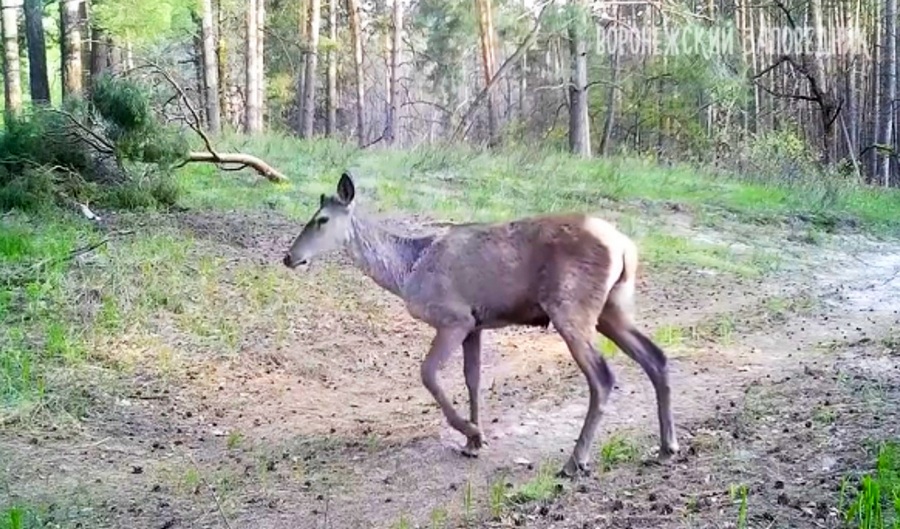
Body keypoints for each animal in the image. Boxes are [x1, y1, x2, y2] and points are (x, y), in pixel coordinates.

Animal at [282, 171, 676, 476]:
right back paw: (666, 447)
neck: (407, 271)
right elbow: (473, 378)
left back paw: (575, 462)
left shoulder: (454, 317)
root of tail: (625, 247)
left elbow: (428, 374)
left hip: (571, 306)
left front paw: (471, 431)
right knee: (656, 356)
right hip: (614, 307)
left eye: (321, 219)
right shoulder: (476, 324)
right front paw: (473, 441)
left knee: (603, 376)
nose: (289, 257)